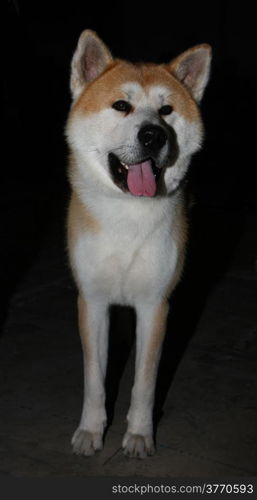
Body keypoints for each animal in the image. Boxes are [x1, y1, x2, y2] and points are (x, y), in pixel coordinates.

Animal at [65, 30, 210, 458]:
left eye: (166, 111)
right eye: (121, 106)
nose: (153, 134)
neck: (128, 215)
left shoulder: (154, 306)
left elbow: (144, 383)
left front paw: (139, 435)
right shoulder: (93, 302)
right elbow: (94, 379)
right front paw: (91, 431)